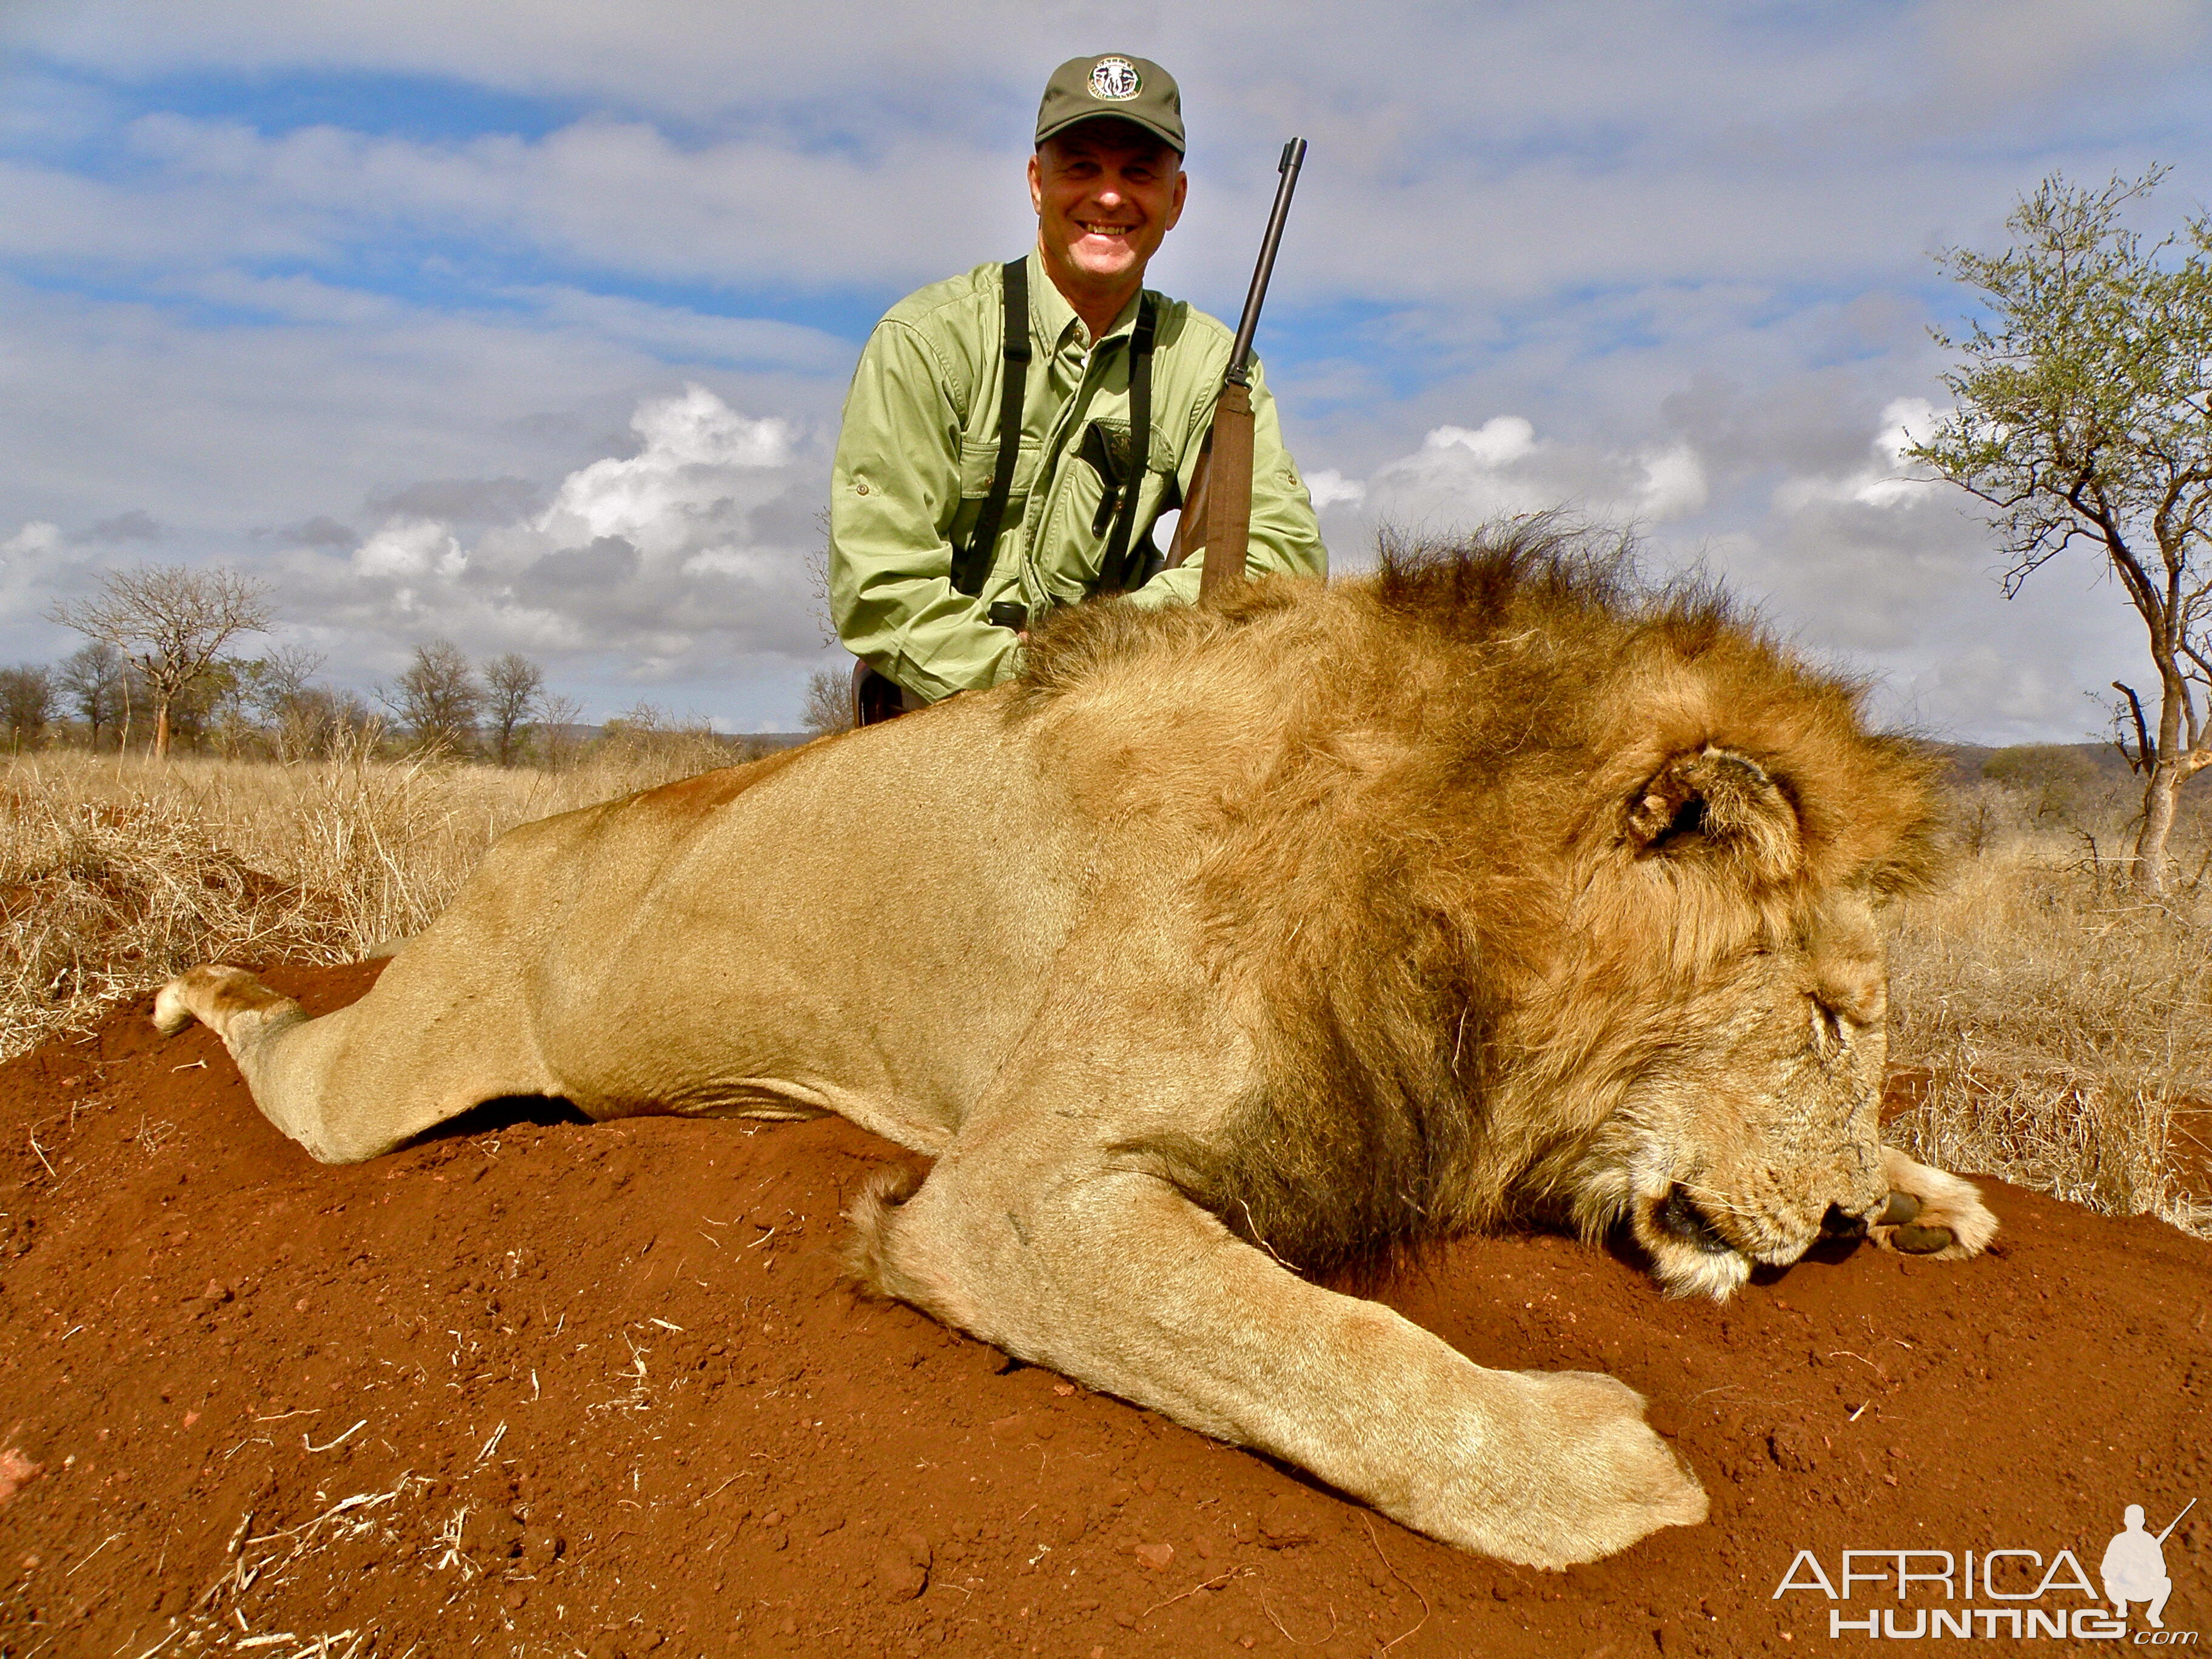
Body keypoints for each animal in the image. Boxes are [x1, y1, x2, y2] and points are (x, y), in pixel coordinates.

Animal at [156, 533, 1991, 1575]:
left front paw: (1931, 1195)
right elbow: (1301, 1343)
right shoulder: (1013, 1196)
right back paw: (196, 984)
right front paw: (1597, 1463)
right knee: (290, 1059)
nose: (1838, 1224)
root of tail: (522, 838)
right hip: (384, 1080)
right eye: (1827, 1016)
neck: (1461, 880)